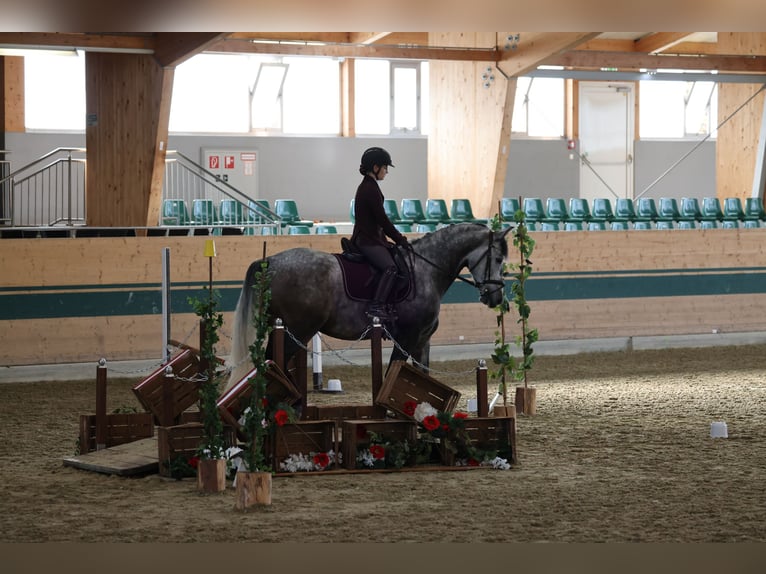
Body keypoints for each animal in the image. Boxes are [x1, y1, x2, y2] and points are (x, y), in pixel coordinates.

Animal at [225, 223, 512, 394]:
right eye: (498, 258)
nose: (496, 297)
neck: (426, 269)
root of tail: (270, 262)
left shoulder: (423, 340)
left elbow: (424, 374)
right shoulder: (407, 338)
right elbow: (393, 373)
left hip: (284, 329)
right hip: (298, 330)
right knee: (274, 362)